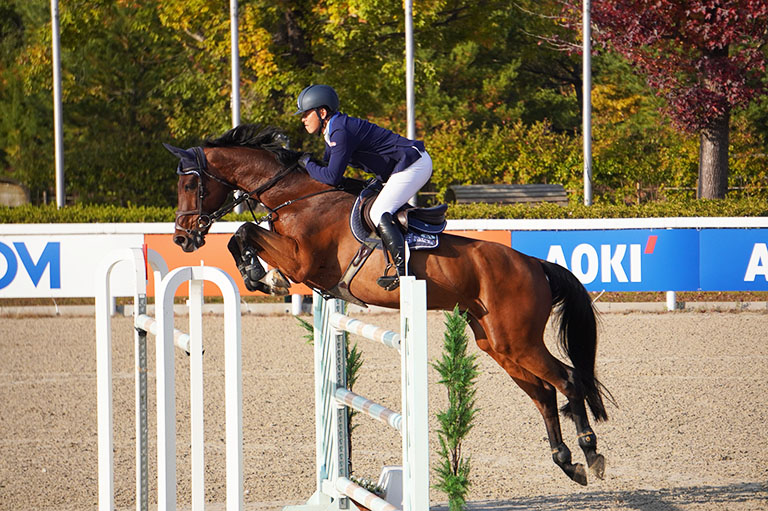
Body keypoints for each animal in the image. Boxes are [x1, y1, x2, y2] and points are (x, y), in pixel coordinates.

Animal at [166, 124, 612, 484]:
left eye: (189, 185)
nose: (182, 239)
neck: (297, 198)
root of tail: (535, 264)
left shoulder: (302, 259)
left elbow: (244, 231)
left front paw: (263, 276)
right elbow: (241, 236)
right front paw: (261, 275)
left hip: (519, 340)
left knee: (568, 380)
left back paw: (591, 452)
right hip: (497, 343)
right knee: (544, 393)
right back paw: (566, 461)